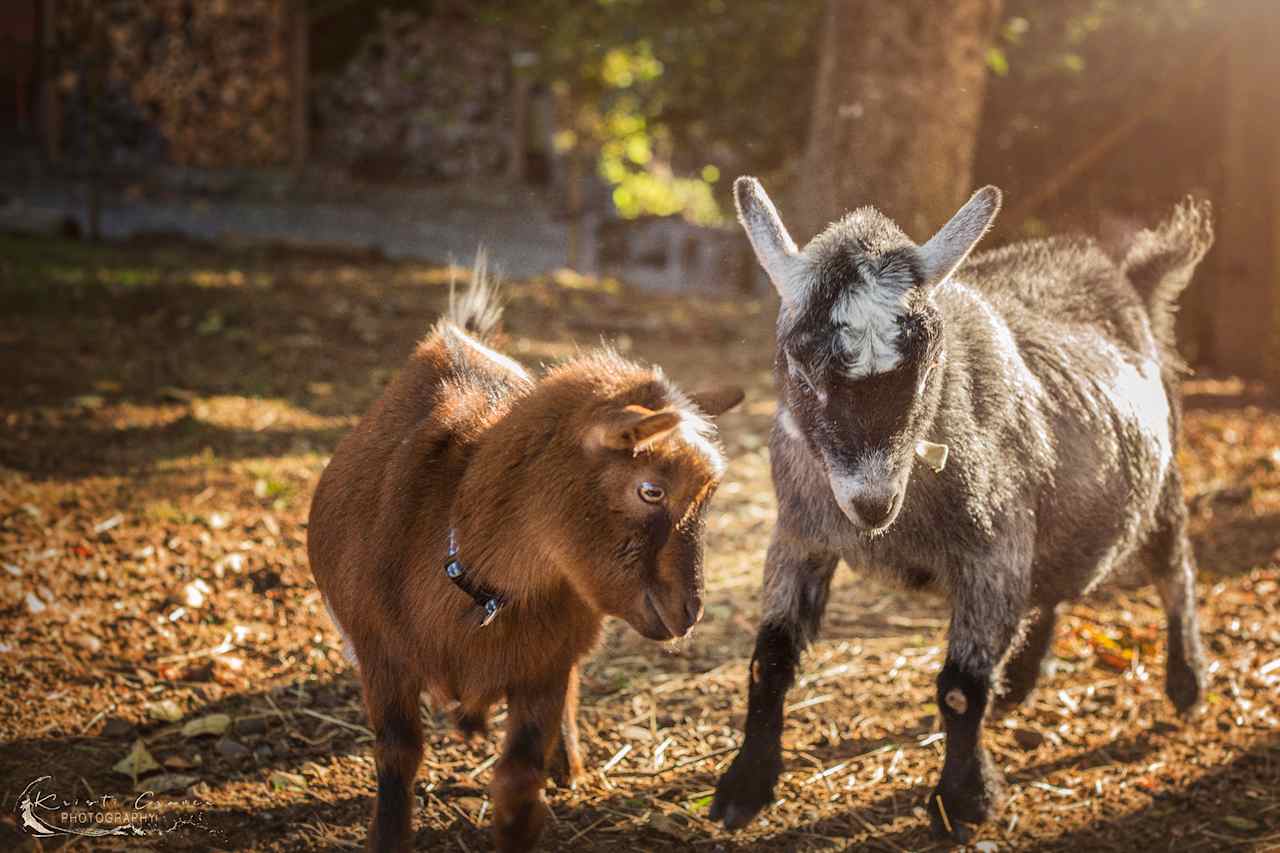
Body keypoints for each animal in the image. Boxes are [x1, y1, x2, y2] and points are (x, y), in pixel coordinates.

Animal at [307, 262, 742, 845]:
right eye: (651, 489)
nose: (689, 612)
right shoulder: (381, 656)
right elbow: (398, 756)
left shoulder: (544, 665)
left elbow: (517, 778)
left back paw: (569, 765)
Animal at [716, 175, 1213, 835]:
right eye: (799, 366)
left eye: (929, 367)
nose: (872, 504)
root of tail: (1135, 280)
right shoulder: (800, 536)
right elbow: (767, 664)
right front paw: (743, 787)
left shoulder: (992, 547)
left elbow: (959, 688)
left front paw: (964, 800)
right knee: (1054, 581)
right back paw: (1023, 678)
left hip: (1161, 481)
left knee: (1173, 568)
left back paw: (1186, 681)